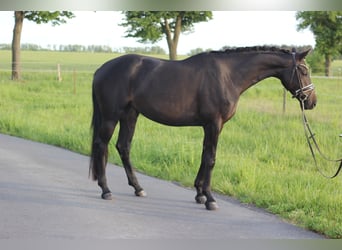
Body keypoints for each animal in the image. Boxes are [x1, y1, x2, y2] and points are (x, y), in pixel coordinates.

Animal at [89, 46, 316, 209]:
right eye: (304, 70)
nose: (312, 102)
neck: (228, 75)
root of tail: (101, 70)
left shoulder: (211, 126)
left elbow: (204, 155)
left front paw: (199, 193)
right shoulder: (214, 124)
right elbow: (211, 158)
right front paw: (210, 199)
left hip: (130, 115)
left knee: (123, 147)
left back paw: (138, 188)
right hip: (111, 117)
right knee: (102, 145)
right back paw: (106, 190)